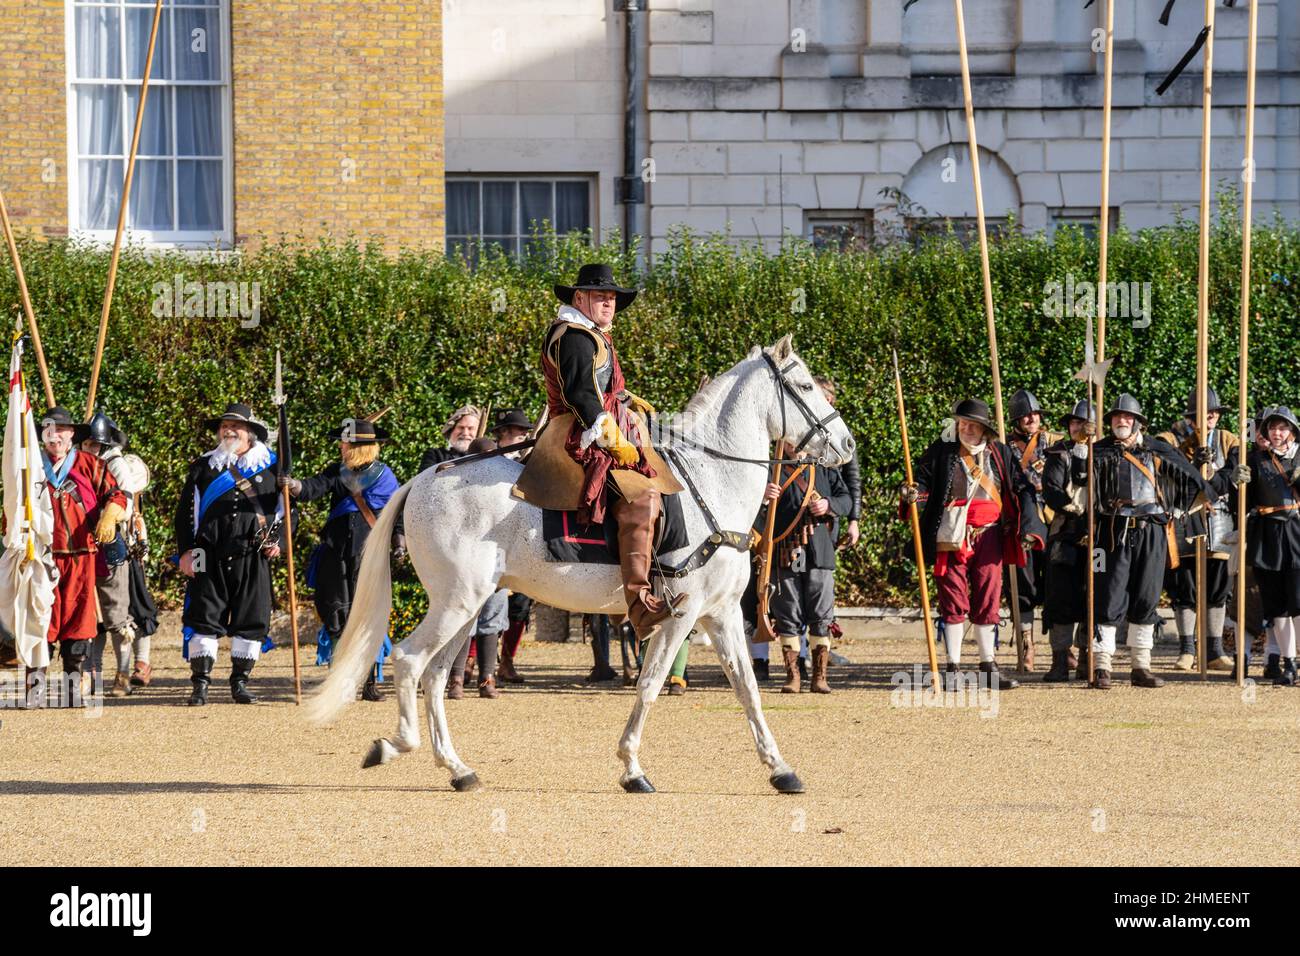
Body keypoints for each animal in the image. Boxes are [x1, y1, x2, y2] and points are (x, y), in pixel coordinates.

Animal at [302, 335, 852, 790]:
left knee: (435, 675)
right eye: (805, 385)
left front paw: (780, 768)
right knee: (409, 660)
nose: (847, 445)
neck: (711, 482)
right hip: (456, 601)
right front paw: (632, 768)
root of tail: (423, 479)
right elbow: (650, 684)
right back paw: (395, 745)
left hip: (467, 604)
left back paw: (458, 769)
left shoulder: (720, 615)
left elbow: (747, 688)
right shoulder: (681, 613)